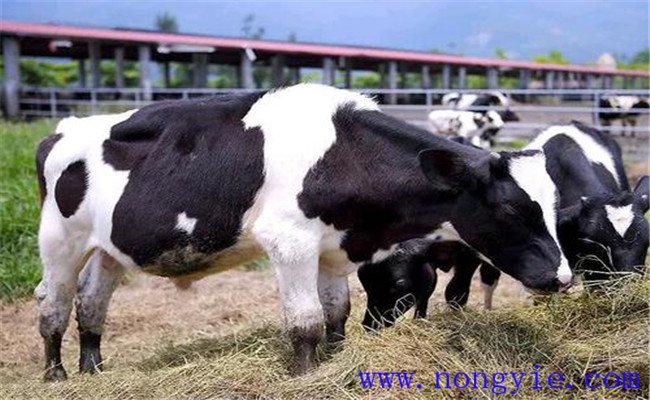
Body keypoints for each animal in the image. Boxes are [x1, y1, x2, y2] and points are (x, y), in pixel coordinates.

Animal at [36, 83, 572, 380]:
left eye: (552, 207)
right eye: (508, 208)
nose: (563, 277)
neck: (343, 154)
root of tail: (61, 129)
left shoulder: (333, 249)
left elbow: (337, 313)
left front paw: (336, 357)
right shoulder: (289, 241)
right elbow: (306, 320)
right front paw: (306, 373)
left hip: (109, 247)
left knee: (92, 301)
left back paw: (93, 367)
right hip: (59, 241)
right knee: (53, 304)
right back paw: (56, 373)